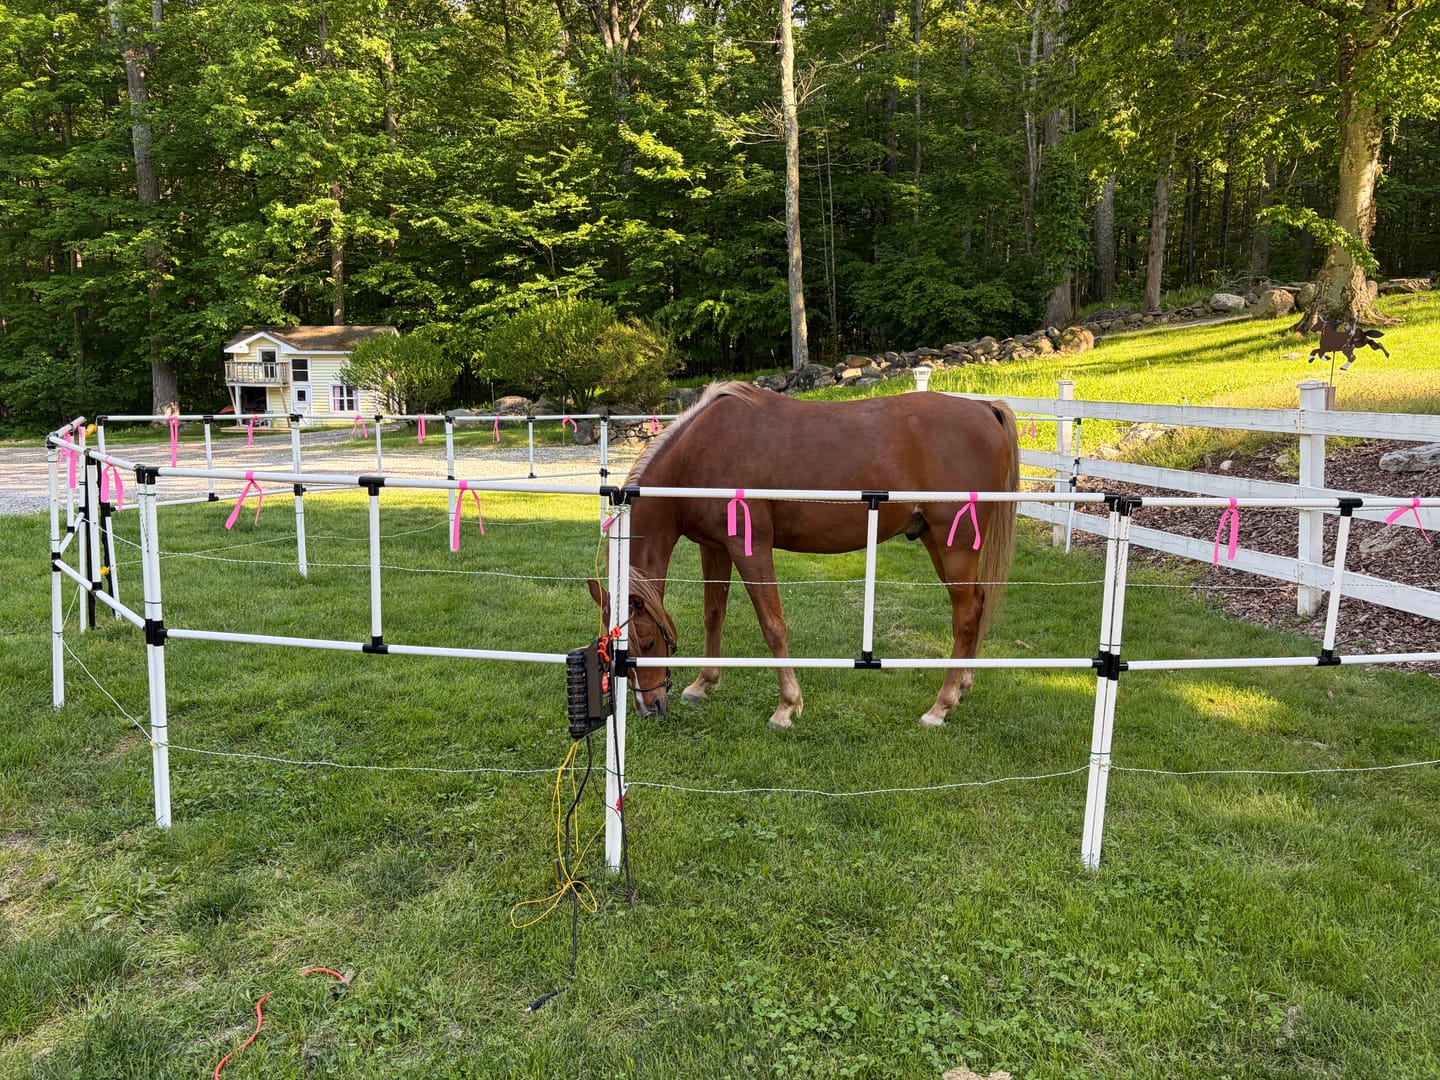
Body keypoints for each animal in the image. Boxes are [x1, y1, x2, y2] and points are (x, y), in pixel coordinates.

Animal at [588, 381, 1021, 729]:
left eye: (646, 643)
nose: (650, 707)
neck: (699, 452)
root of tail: (985, 408)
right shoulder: (713, 548)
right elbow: (714, 614)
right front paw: (703, 684)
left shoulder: (751, 548)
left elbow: (772, 625)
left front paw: (787, 706)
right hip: (935, 540)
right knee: (978, 603)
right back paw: (963, 684)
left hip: (954, 544)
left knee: (966, 616)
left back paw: (940, 706)